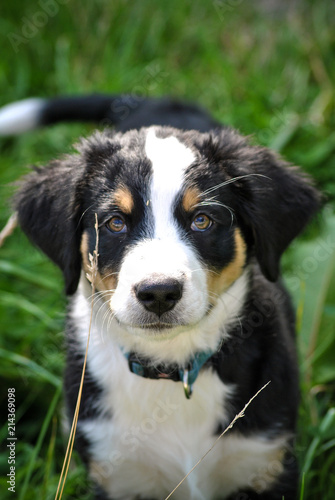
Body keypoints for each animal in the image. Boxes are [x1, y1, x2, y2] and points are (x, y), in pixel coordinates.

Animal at [0, 95, 320, 498]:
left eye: (202, 220)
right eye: (115, 223)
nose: (159, 292)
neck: (170, 366)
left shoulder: (266, 462)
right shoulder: (116, 472)